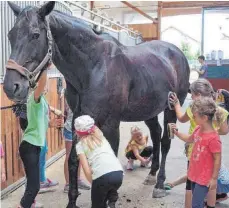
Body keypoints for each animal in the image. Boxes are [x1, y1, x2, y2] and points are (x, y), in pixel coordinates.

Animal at [3, 2, 190, 208]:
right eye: (10, 34)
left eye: (35, 35)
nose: (11, 87)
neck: (94, 66)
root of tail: (177, 53)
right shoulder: (78, 119)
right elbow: (73, 160)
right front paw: (72, 201)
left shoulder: (111, 124)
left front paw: (110, 200)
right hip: (149, 110)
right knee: (156, 135)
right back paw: (151, 175)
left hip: (171, 108)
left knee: (165, 141)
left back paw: (159, 184)